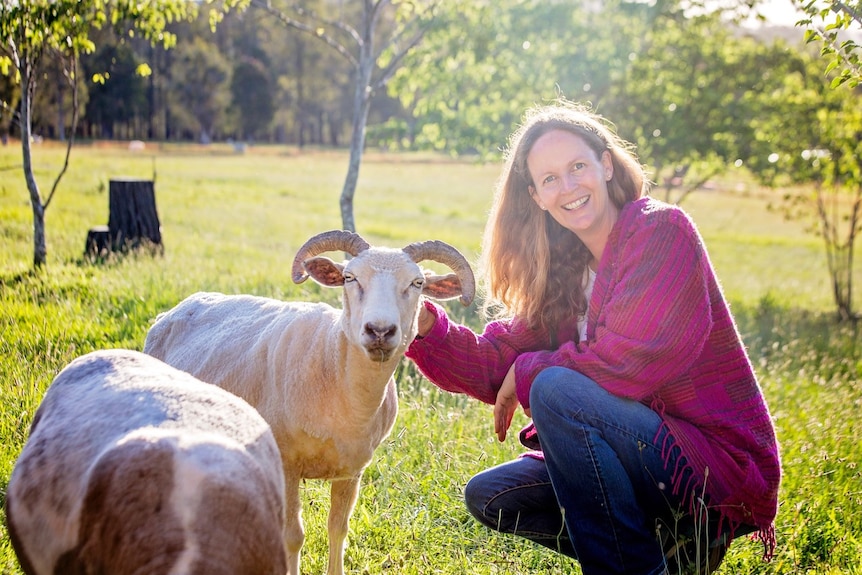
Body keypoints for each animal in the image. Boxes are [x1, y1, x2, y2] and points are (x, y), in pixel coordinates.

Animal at [144, 232, 476, 575]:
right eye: (349, 277)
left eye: (418, 283)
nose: (380, 330)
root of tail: (175, 309)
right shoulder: (287, 462)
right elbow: (293, 535)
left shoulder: (352, 470)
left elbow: (338, 529)